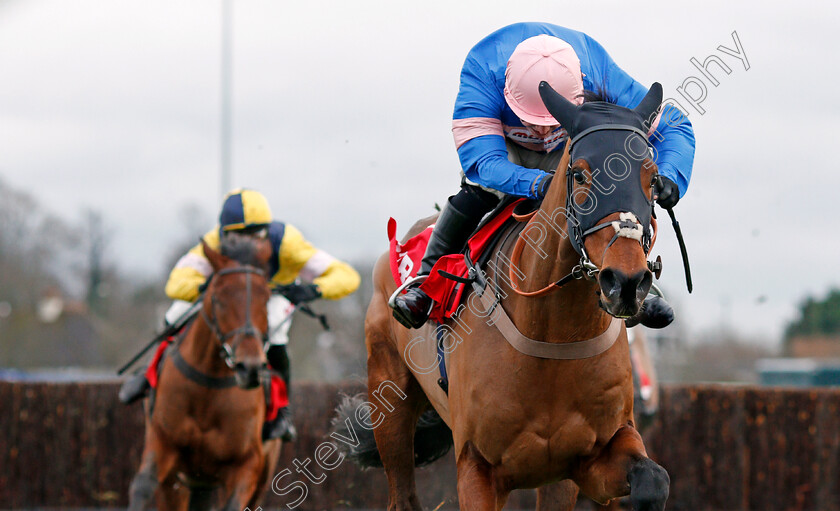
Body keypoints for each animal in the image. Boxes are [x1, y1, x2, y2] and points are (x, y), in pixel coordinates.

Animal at [129, 235, 282, 511]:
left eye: (266, 300)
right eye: (218, 298)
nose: (250, 367)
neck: (208, 388)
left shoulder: (247, 464)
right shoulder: (163, 444)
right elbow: (143, 485)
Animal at [354, 82, 668, 510]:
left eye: (652, 178)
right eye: (580, 175)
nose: (627, 281)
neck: (553, 333)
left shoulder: (588, 458)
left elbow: (654, 479)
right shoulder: (478, 468)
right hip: (390, 402)